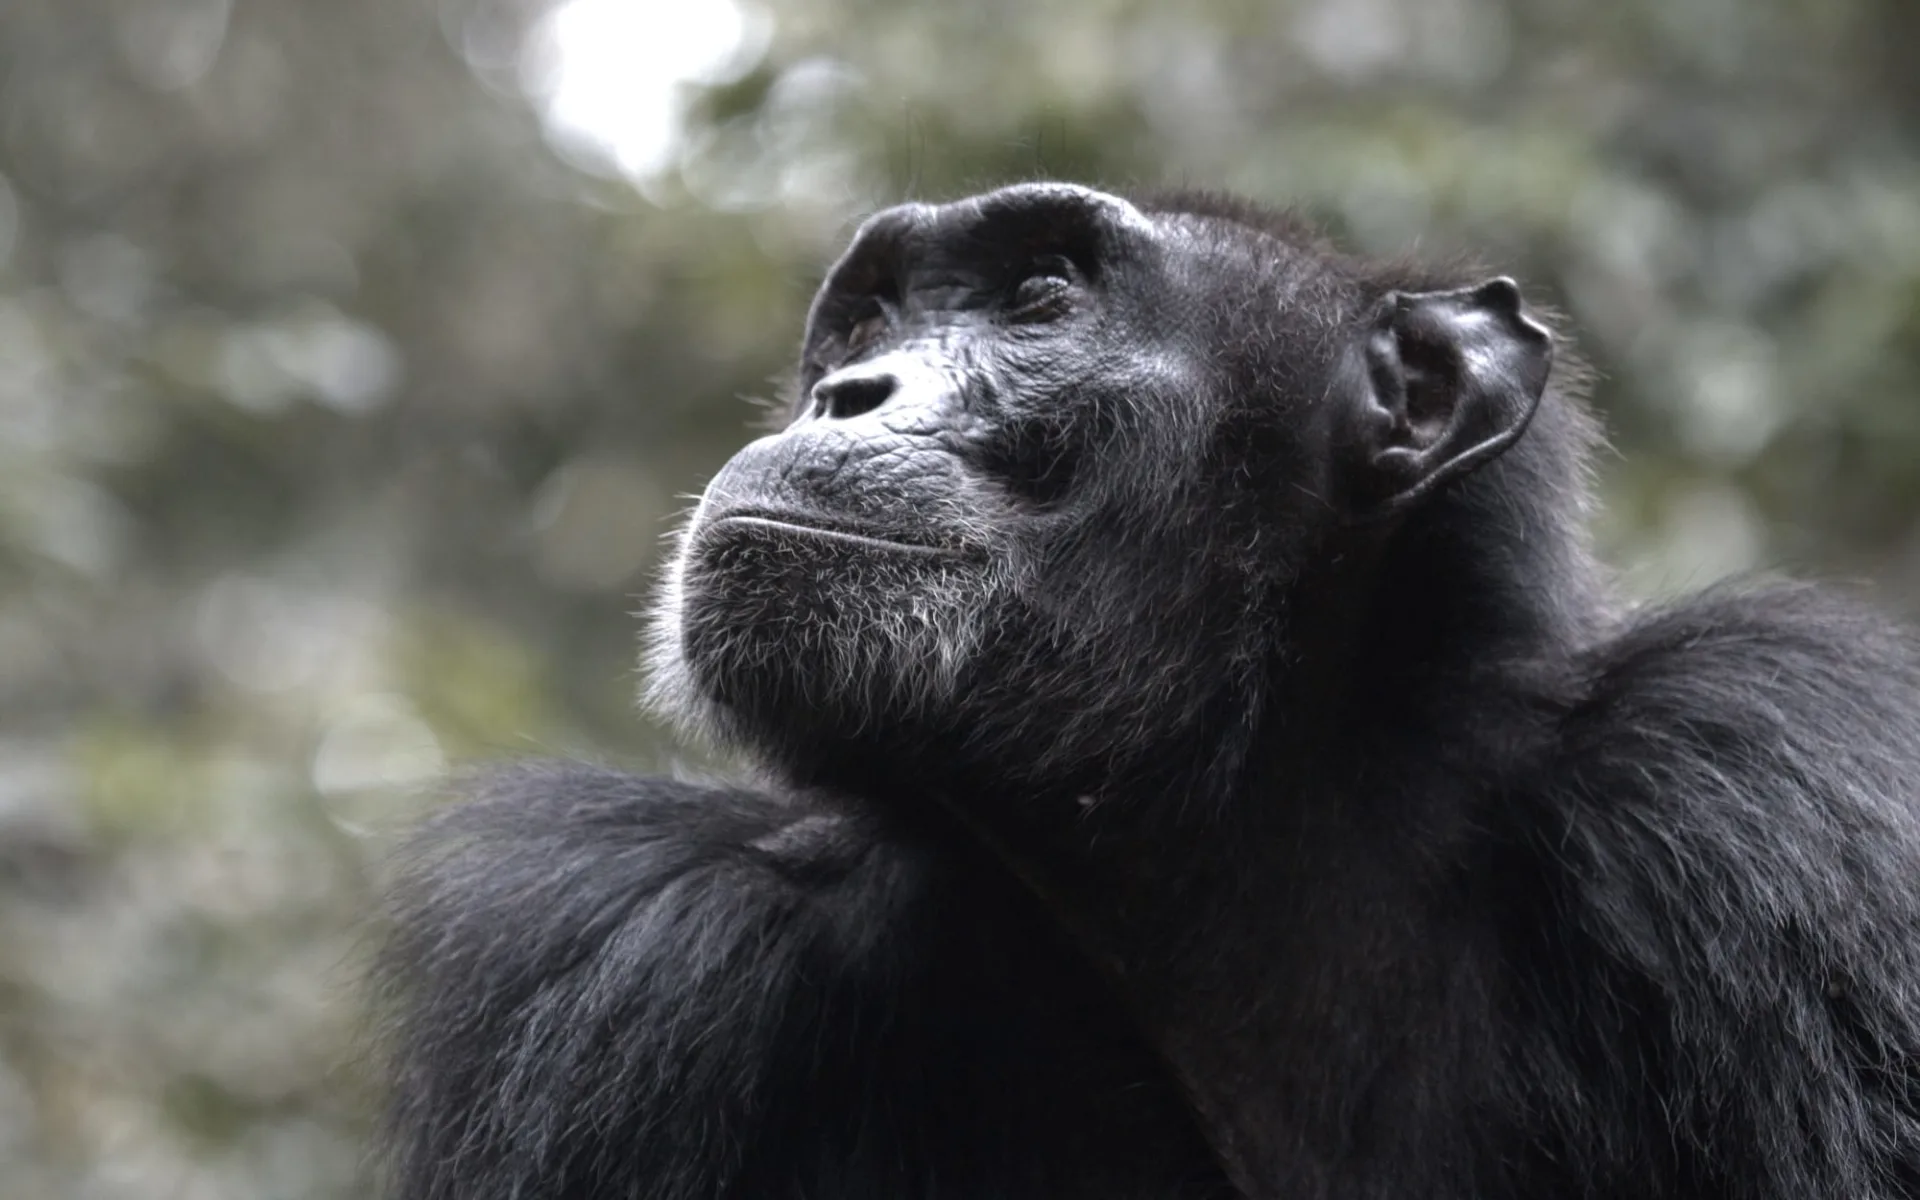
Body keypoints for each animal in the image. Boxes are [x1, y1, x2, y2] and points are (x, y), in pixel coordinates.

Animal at [370, 180, 1920, 1198]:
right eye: (867, 319)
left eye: (1043, 297)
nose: (845, 393)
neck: (1214, 828)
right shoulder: (618, 956)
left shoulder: (1772, 783)